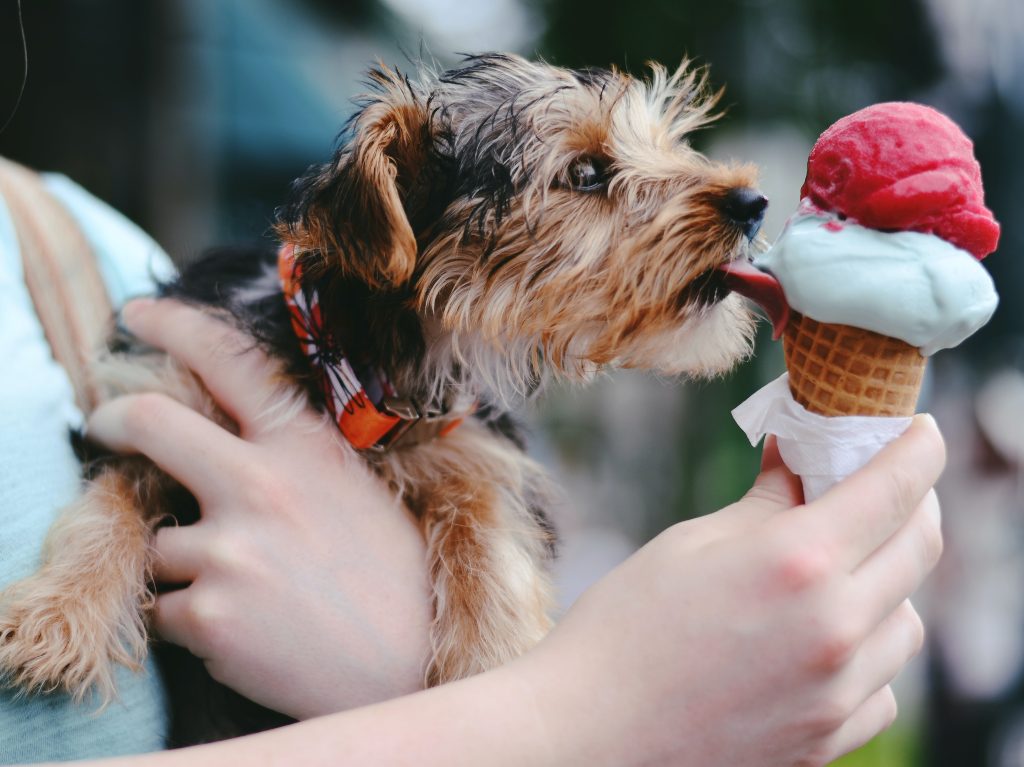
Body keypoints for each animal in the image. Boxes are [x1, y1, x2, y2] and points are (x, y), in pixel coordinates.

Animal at [0, 53, 770, 725]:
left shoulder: (474, 443)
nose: (754, 202)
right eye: (585, 172)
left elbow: (485, 522)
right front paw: (55, 615)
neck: (352, 364)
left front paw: (491, 659)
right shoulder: (157, 396)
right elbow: (110, 500)